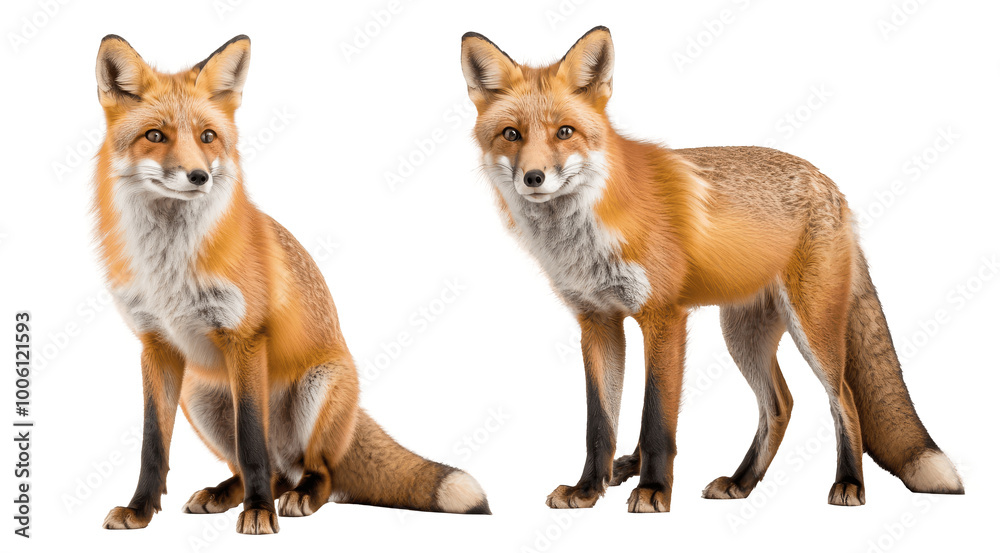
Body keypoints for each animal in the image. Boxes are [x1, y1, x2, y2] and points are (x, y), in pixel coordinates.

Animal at [93, 34, 490, 534]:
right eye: (155, 136)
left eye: (208, 137)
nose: (199, 176)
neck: (170, 267)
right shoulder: (156, 345)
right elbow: (153, 444)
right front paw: (141, 510)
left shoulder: (245, 338)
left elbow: (252, 441)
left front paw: (259, 513)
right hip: (200, 398)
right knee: (272, 468)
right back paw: (227, 493)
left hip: (314, 393)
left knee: (316, 472)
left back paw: (297, 496)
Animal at [460, 26, 964, 513]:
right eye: (511, 134)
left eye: (564, 132)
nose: (533, 178)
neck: (587, 232)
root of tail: (831, 186)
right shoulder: (598, 322)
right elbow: (599, 424)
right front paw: (587, 490)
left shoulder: (664, 317)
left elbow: (656, 419)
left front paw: (654, 491)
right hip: (742, 333)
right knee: (780, 404)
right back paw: (742, 482)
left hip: (812, 326)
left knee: (845, 400)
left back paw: (848, 483)